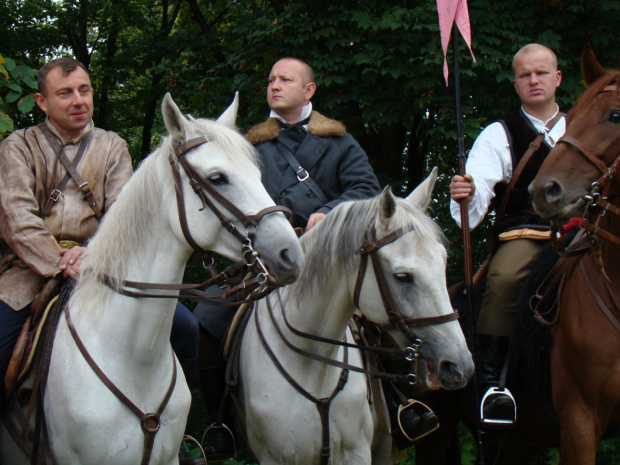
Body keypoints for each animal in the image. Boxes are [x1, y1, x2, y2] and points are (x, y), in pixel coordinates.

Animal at [240, 169, 472, 464]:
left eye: (443, 263)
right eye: (402, 276)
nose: (459, 365)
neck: (311, 364)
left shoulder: (356, 451)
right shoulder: (276, 458)